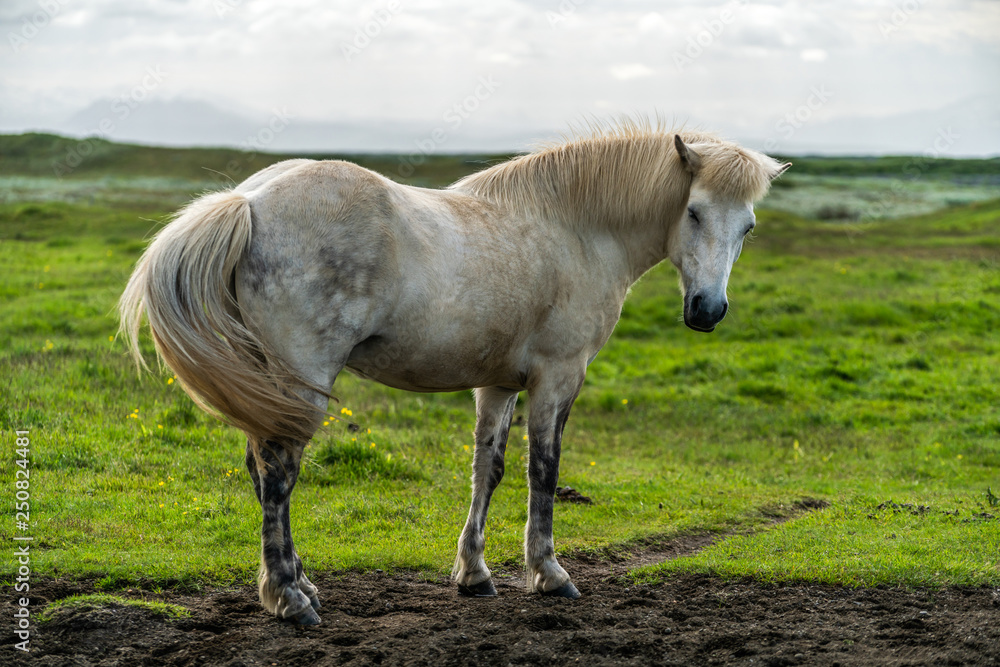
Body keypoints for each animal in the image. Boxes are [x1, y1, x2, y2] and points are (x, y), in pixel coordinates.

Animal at [119, 121, 788, 628]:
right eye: (694, 213)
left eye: (748, 227)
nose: (707, 310)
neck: (576, 230)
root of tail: (250, 202)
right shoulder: (558, 378)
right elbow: (544, 470)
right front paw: (549, 573)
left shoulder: (498, 383)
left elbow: (486, 470)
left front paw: (474, 573)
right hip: (300, 382)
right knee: (279, 477)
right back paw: (290, 598)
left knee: (260, 474)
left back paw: (300, 585)